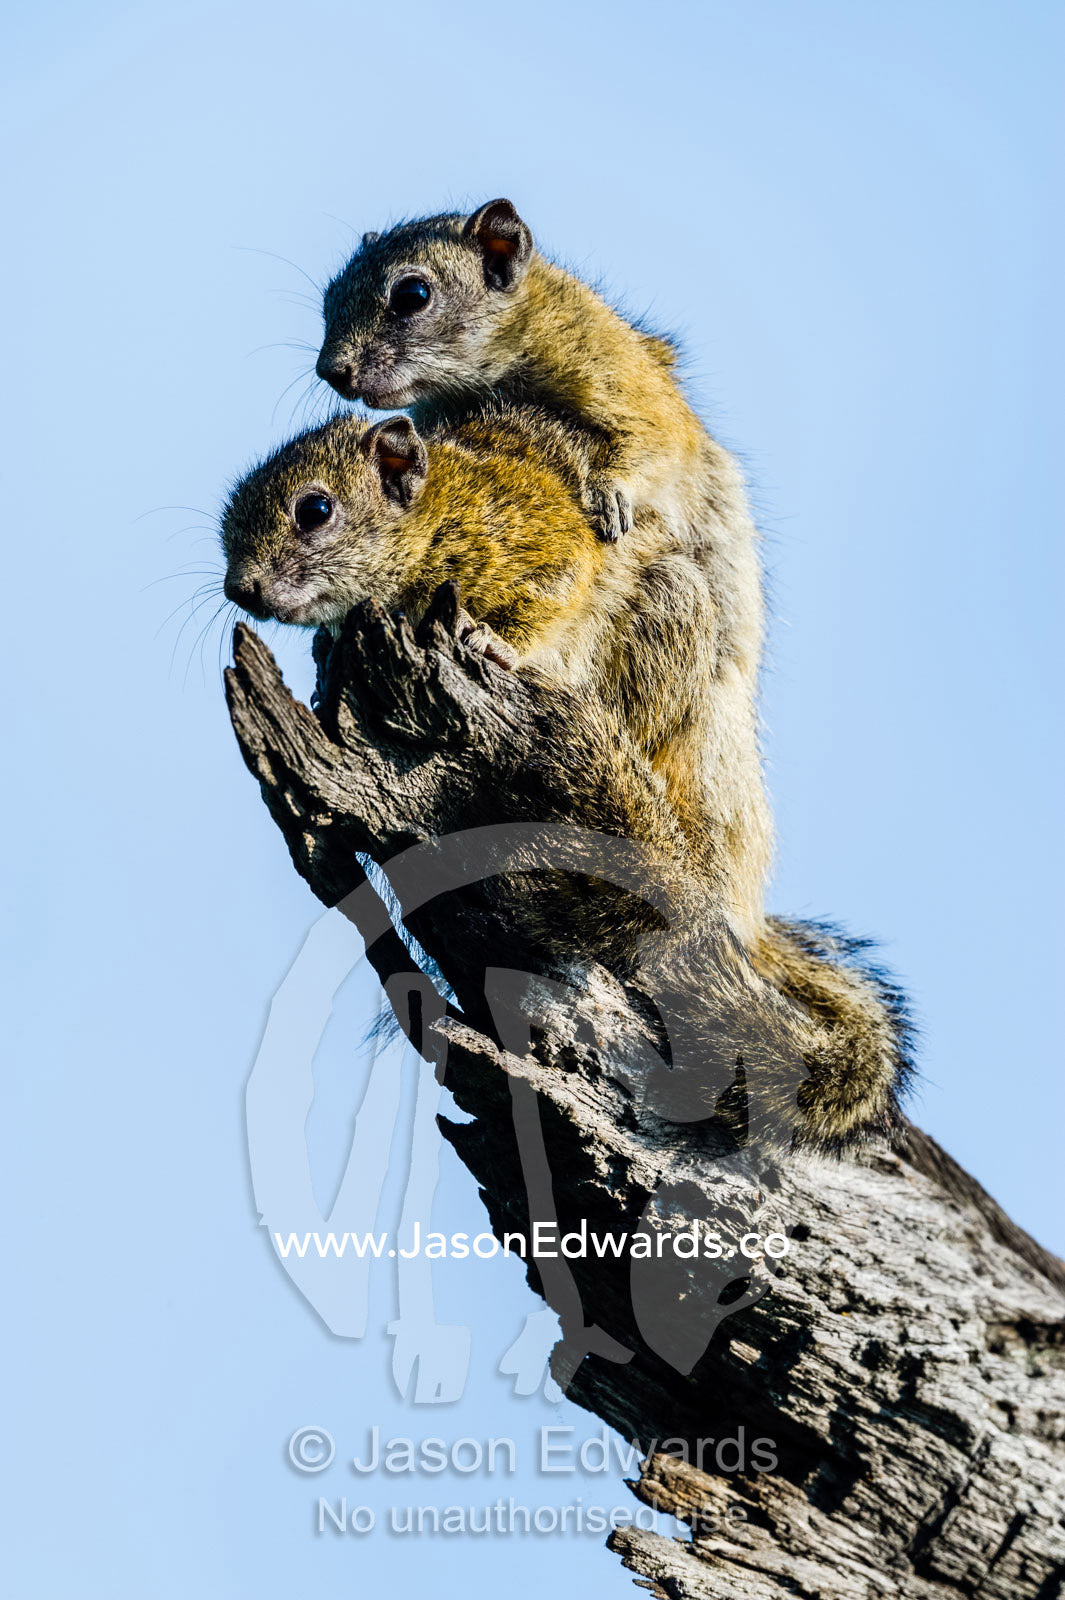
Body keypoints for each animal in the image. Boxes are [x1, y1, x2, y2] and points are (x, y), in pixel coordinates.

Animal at [221, 406, 913, 1149]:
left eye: (315, 510)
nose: (240, 589)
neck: (433, 513)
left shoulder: (535, 534)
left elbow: (557, 588)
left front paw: (494, 642)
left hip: (667, 621)